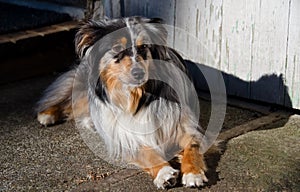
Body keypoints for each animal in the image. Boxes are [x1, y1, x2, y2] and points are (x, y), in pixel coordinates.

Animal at [37, 16, 209, 189]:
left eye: (144, 46)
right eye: (117, 47)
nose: (139, 73)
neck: (137, 97)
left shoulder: (183, 124)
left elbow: (191, 148)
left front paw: (193, 173)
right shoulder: (128, 138)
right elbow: (147, 153)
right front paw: (164, 172)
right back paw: (47, 114)